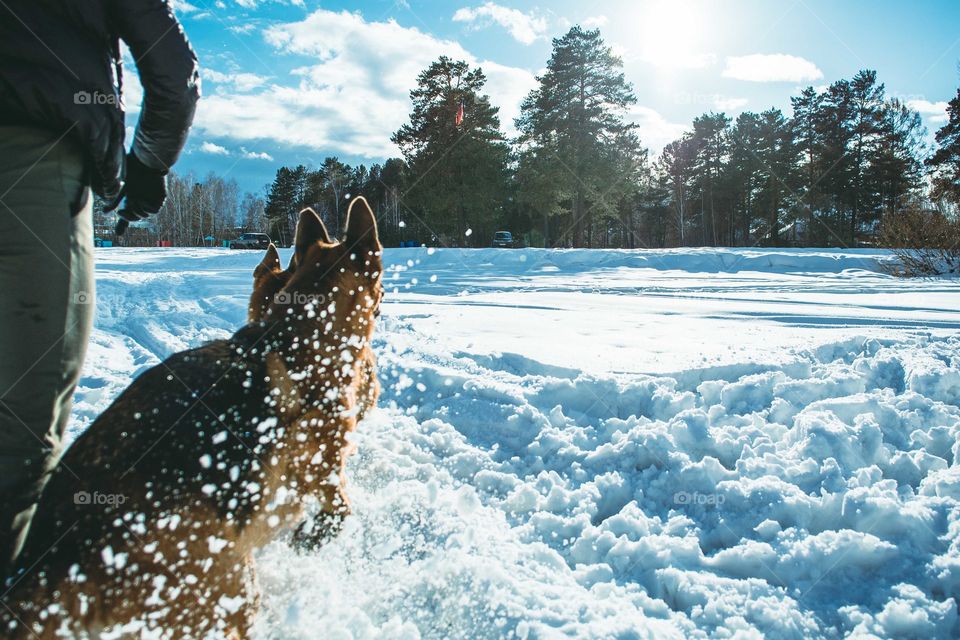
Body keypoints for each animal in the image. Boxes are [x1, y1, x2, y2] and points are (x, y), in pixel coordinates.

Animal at [3, 198, 386, 636]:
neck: (298, 338)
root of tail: (56, 559)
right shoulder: (322, 473)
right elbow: (337, 514)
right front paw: (308, 537)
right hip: (230, 587)